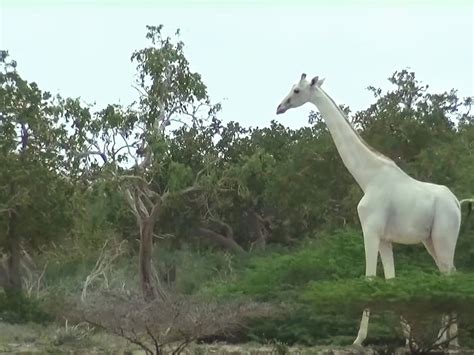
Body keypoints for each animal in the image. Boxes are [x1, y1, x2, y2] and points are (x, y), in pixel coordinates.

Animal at [276, 73, 472, 350]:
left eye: (296, 90)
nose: (279, 107)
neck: (367, 177)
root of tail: (456, 202)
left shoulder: (370, 230)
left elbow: (369, 279)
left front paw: (358, 339)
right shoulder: (385, 239)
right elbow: (391, 281)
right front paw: (408, 339)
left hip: (444, 236)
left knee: (449, 275)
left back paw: (449, 342)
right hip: (430, 241)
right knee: (449, 274)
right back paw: (445, 339)